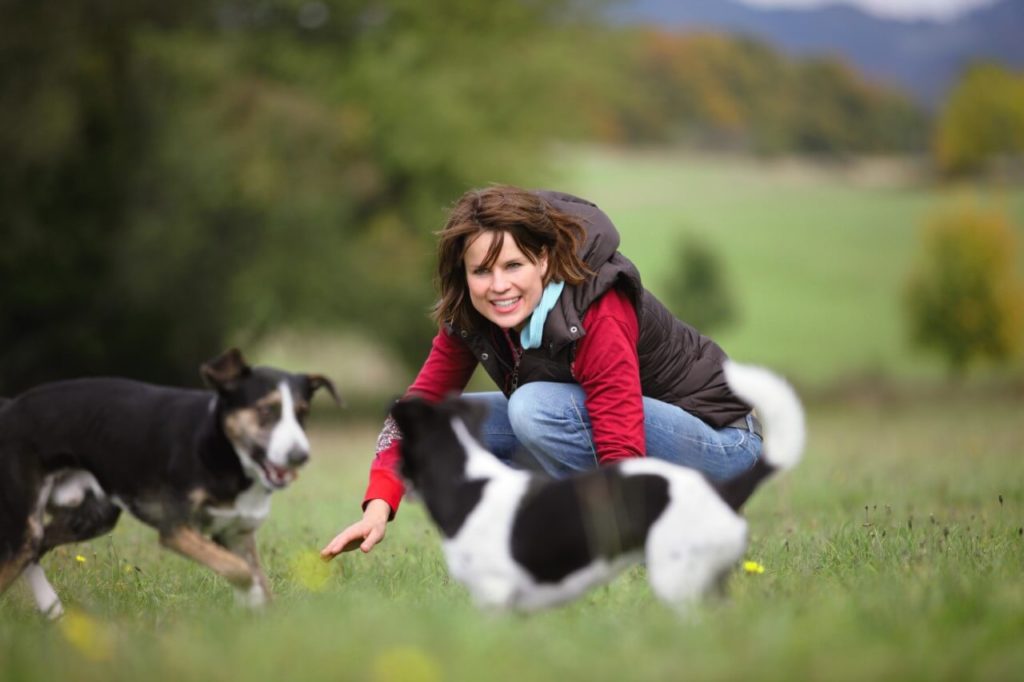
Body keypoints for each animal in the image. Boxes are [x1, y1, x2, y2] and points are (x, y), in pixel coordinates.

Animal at [0, 348, 344, 618]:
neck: (225, 453)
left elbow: (254, 573)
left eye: (302, 414)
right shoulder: (177, 529)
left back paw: (52, 611)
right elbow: (242, 571)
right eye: (265, 410)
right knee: (21, 553)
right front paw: (251, 600)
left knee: (37, 548)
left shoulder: (238, 532)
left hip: (91, 517)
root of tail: (10, 406)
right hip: (27, 520)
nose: (300, 455)